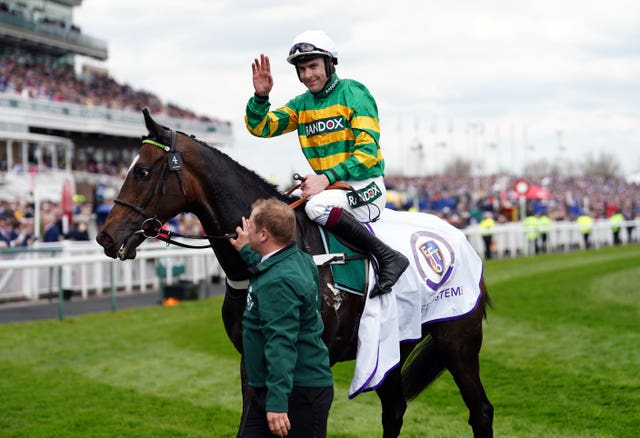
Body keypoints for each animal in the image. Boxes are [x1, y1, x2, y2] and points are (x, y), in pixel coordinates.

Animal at [96, 108, 496, 434]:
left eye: (143, 172)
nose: (105, 236)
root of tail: (461, 238)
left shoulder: (315, 360)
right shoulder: (252, 357)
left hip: (457, 337)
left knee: (481, 410)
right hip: (392, 343)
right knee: (395, 410)